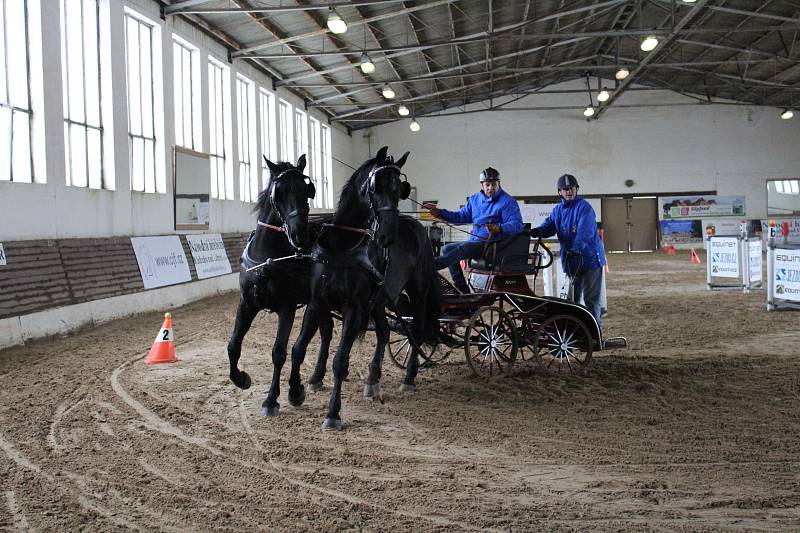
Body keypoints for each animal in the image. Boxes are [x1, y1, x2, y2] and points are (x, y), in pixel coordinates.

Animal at [227, 154, 332, 416]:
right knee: (326, 331)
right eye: (280, 192)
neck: (267, 258)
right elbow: (233, 345)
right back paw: (316, 377)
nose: (300, 235)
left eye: (306, 190)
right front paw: (241, 378)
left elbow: (279, 352)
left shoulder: (287, 307)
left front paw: (273, 399)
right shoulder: (247, 303)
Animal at [284, 148, 440, 430]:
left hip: (417, 292)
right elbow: (299, 347)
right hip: (380, 298)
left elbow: (340, 361)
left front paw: (333, 414)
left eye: (399, 189)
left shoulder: (354, 309)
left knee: (417, 330)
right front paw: (297, 391)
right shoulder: (317, 302)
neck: (341, 247)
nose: (387, 236)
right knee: (384, 332)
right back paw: (373, 380)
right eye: (375, 186)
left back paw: (409, 378)